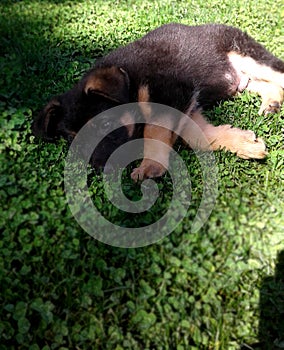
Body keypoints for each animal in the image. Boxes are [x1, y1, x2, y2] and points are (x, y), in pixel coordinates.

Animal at [33, 23, 284, 179]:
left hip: (249, 55)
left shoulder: (170, 92)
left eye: (105, 124)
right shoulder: (187, 104)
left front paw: (150, 165)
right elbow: (198, 136)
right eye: (73, 140)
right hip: (240, 79)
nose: (99, 168)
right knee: (259, 83)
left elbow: (154, 130)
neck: (130, 81)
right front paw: (244, 142)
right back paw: (271, 101)